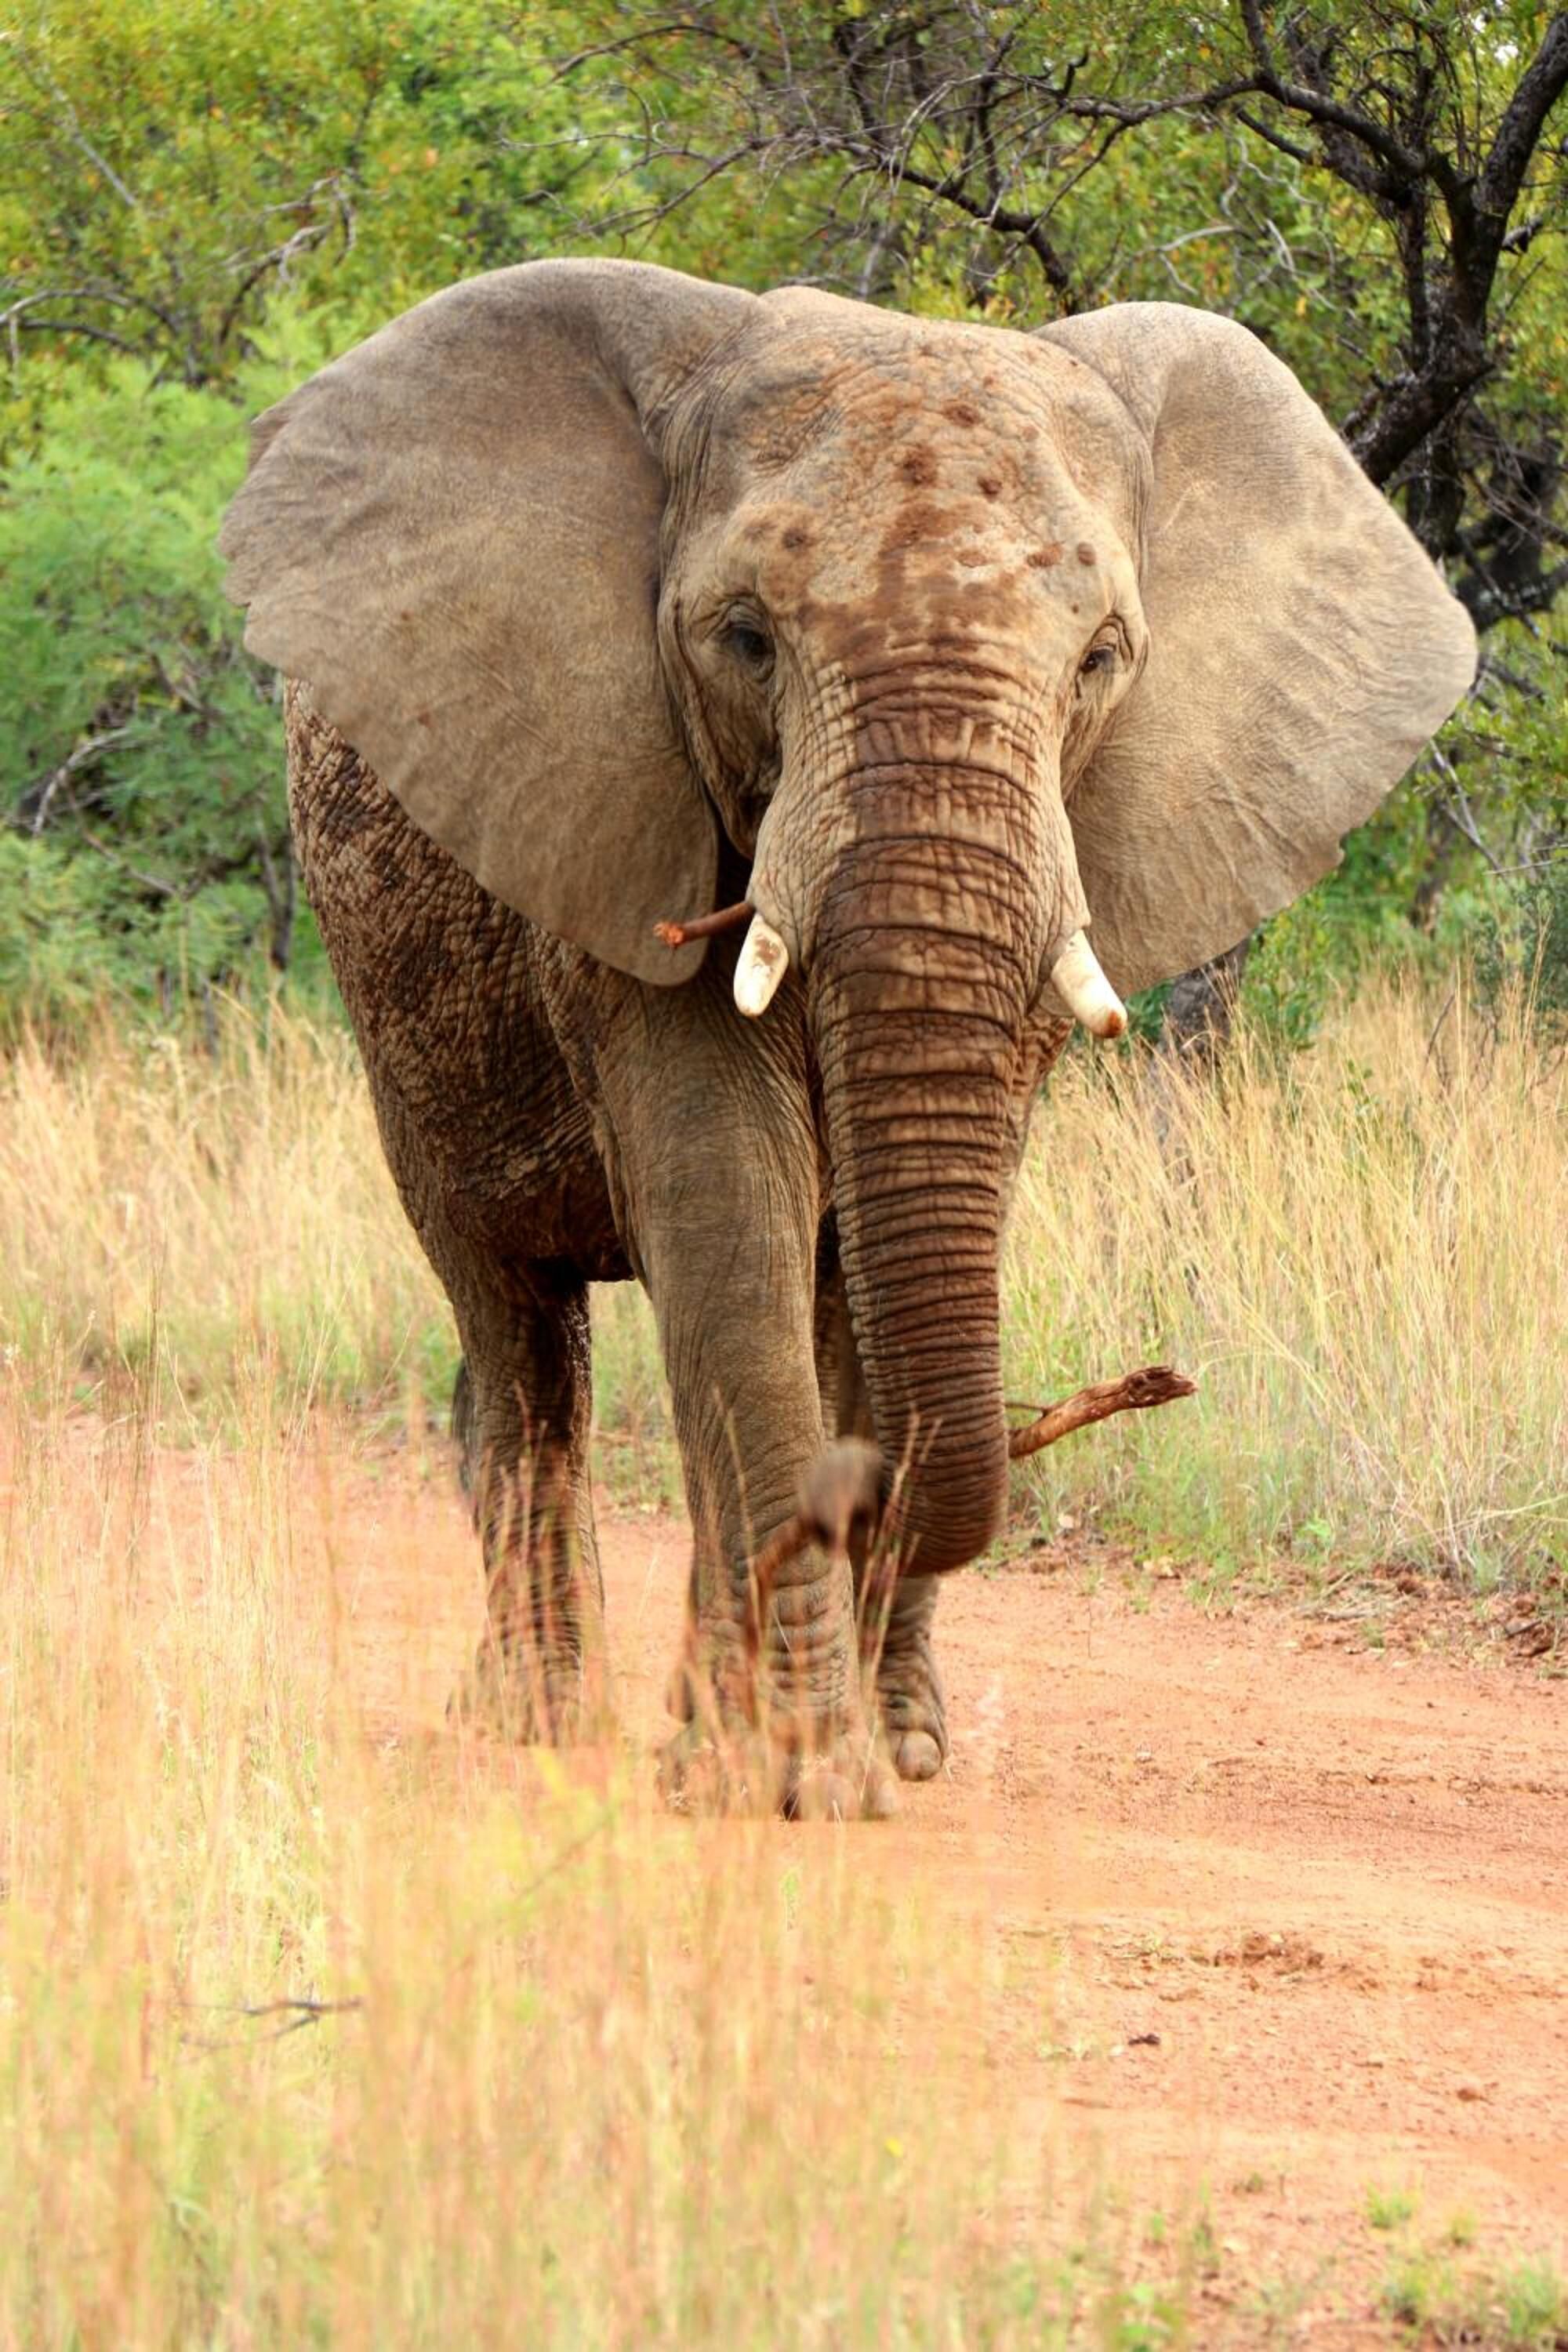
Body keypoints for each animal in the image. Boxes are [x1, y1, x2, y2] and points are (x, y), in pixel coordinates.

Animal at [220, 259, 1474, 1817]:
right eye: (746, 639)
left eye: (1102, 658)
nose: (1154, 1385)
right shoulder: (634, 816)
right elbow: (733, 1221)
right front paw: (795, 1775)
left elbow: (888, 1261)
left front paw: (852, 1752)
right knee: (515, 1328)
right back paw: (537, 1723)